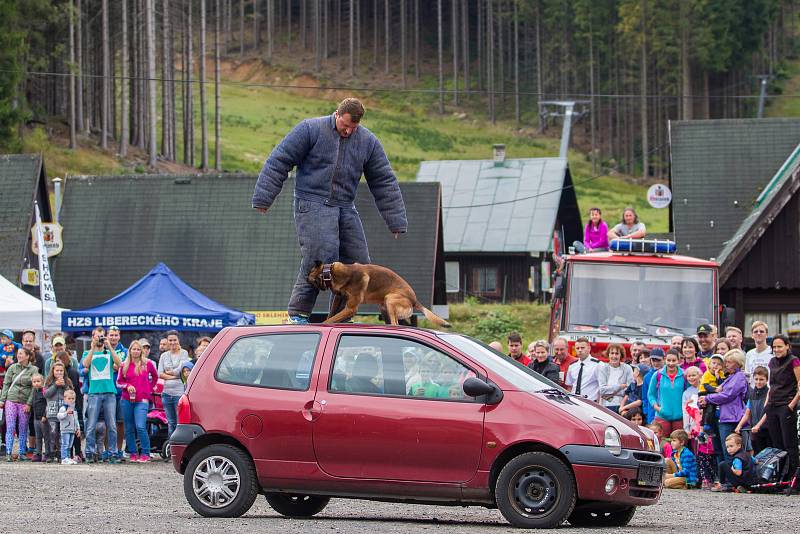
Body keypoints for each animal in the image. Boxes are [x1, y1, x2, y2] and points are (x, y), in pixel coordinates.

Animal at [310, 262, 450, 328]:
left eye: (311, 276)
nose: (306, 278)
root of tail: (414, 300)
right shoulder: (339, 298)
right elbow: (332, 314)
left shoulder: (350, 308)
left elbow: (330, 319)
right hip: (384, 307)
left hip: (390, 299)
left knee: (395, 324)